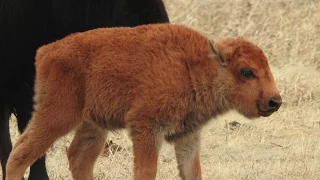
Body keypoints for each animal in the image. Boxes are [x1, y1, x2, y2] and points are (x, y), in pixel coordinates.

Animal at [4, 23, 280, 180]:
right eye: (247, 71)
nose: (274, 101)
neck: (192, 66)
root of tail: (46, 51)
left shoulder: (188, 135)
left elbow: (192, 171)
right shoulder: (147, 128)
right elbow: (147, 171)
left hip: (93, 125)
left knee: (78, 157)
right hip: (57, 114)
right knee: (20, 152)